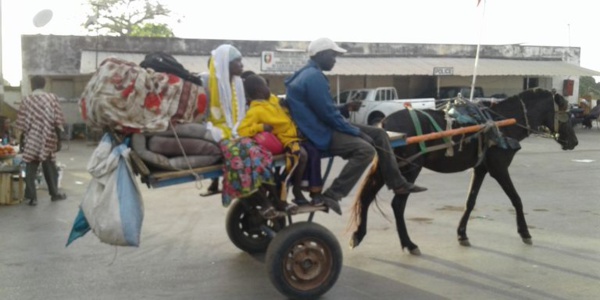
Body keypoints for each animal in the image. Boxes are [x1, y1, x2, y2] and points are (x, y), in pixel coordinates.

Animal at [350, 88, 580, 254]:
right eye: (566, 114)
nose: (574, 142)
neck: (502, 123)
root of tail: (384, 124)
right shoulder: (499, 168)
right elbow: (516, 199)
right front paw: (524, 232)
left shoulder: (481, 168)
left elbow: (470, 201)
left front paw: (462, 234)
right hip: (409, 169)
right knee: (397, 205)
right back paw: (409, 244)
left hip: (390, 168)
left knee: (367, 197)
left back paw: (358, 235)